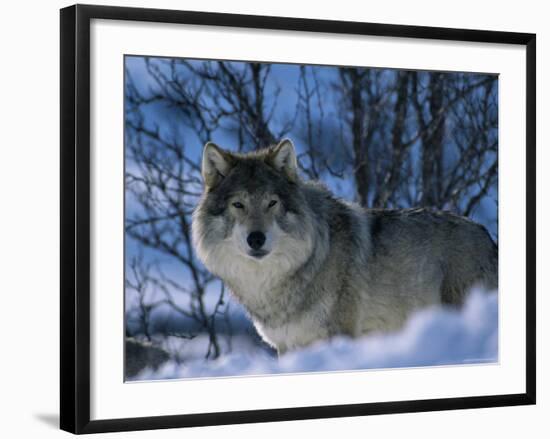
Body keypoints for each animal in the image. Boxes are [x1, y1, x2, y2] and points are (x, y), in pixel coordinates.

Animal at [193, 140, 500, 354]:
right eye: (238, 204)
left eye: (271, 203)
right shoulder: (287, 346)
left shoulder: (338, 336)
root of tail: (488, 237)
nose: (256, 239)